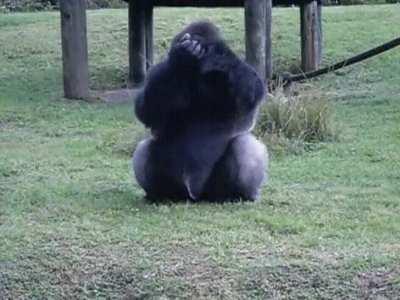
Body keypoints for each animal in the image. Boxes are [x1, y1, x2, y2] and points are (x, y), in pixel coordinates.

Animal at [133, 21, 268, 202]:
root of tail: (195, 195)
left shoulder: (240, 71)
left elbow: (251, 90)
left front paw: (215, 51)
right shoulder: (158, 71)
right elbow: (147, 110)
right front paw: (179, 57)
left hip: (213, 191)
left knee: (245, 144)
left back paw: (239, 194)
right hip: (178, 187)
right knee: (145, 147)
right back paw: (158, 194)